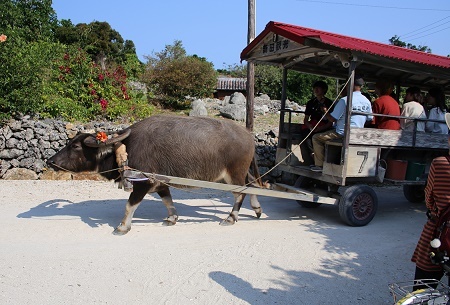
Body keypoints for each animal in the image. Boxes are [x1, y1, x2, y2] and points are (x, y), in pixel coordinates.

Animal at [46, 115, 264, 234]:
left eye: (75, 146)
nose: (50, 161)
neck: (126, 149)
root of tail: (248, 136)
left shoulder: (142, 184)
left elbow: (129, 205)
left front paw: (123, 227)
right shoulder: (160, 183)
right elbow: (167, 201)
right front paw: (172, 218)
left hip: (234, 174)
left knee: (240, 193)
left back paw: (231, 217)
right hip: (239, 173)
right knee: (253, 183)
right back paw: (257, 209)